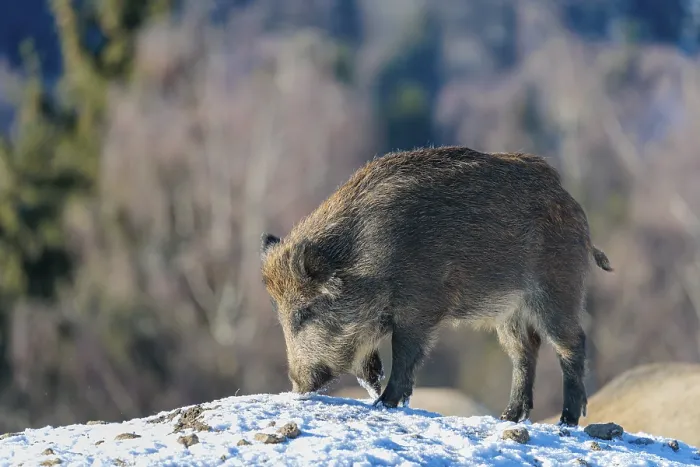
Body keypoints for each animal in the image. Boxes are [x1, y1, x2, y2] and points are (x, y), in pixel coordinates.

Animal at [260, 145, 612, 426]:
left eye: (304, 313)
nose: (297, 386)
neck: (366, 260)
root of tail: (571, 205)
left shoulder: (418, 307)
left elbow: (404, 352)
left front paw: (384, 404)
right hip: (509, 313)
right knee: (525, 351)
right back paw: (508, 417)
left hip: (558, 290)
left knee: (572, 344)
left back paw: (567, 421)